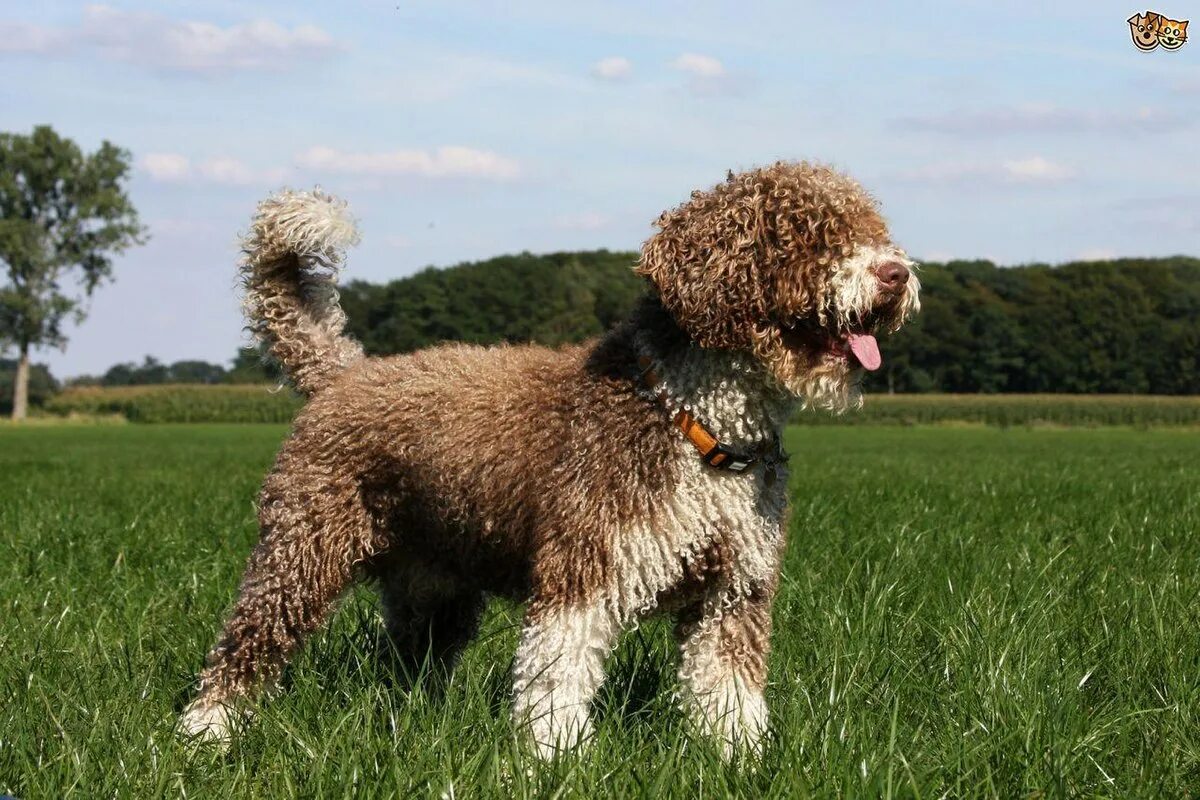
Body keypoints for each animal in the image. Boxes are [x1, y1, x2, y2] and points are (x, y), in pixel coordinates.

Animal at [182, 160, 921, 758]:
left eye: (872, 225)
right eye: (810, 234)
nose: (897, 273)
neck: (695, 423)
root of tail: (342, 372)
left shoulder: (733, 591)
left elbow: (727, 691)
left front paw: (741, 760)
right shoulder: (585, 570)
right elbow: (557, 676)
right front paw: (558, 757)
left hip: (433, 584)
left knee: (411, 663)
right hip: (301, 552)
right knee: (243, 649)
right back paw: (206, 734)